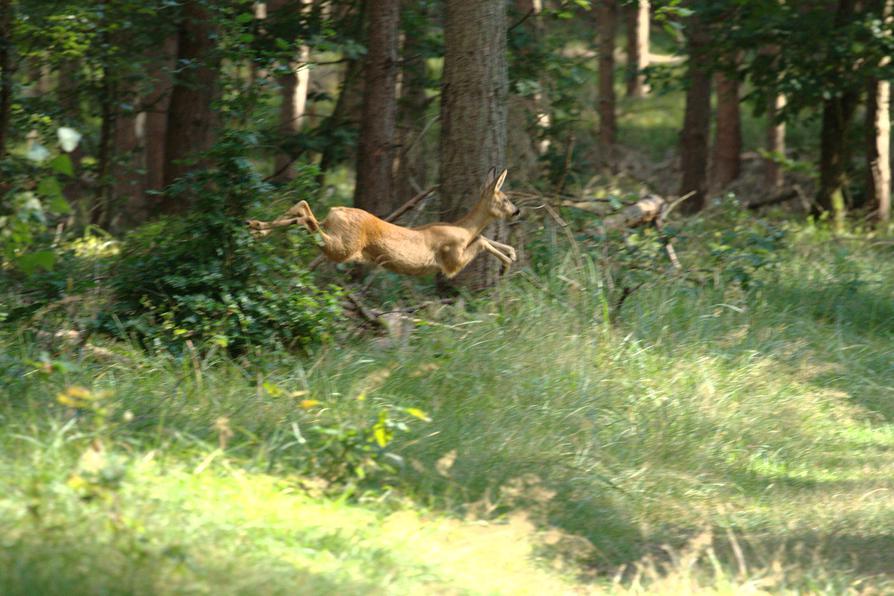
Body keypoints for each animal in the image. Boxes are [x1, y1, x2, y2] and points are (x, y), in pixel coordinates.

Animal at [248, 169, 520, 278]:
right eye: (506, 199)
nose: (517, 211)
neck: (462, 228)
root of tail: (335, 212)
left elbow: (483, 237)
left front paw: (512, 255)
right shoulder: (451, 261)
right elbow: (482, 240)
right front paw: (506, 264)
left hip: (337, 237)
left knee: (304, 207)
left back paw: (256, 227)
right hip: (344, 246)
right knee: (307, 219)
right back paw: (260, 227)